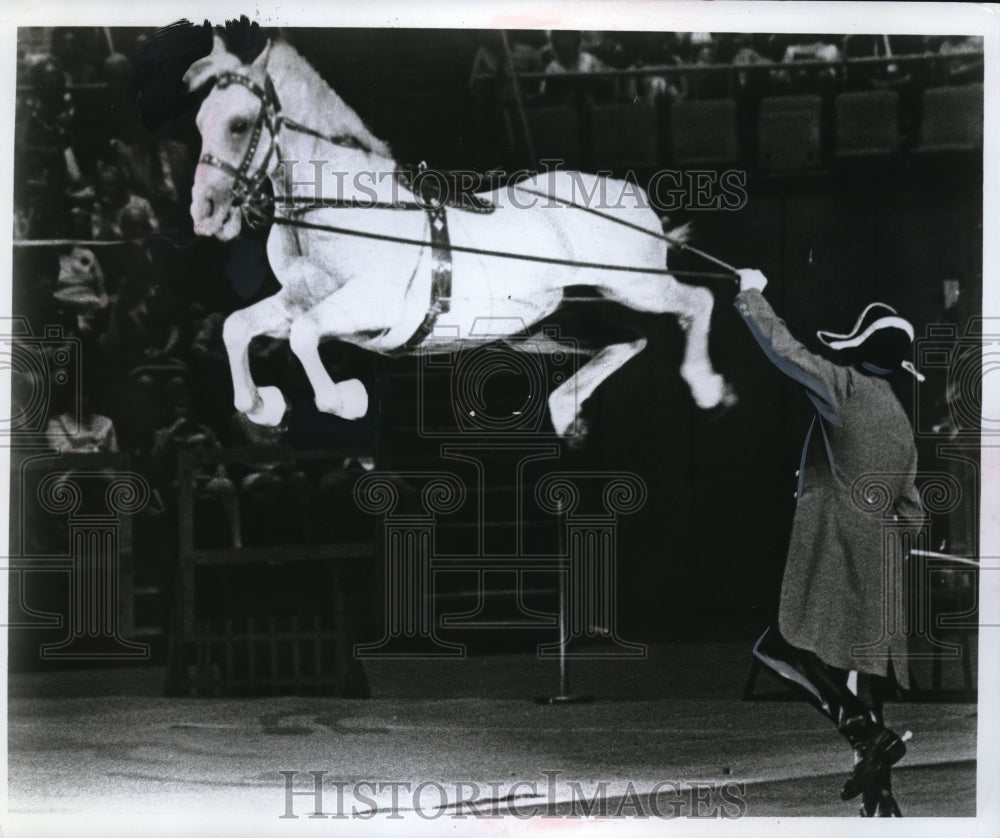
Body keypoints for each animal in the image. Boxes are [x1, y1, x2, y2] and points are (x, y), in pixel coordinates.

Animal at [186, 36, 736, 436]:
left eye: (239, 125)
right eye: (200, 122)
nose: (204, 213)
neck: (339, 210)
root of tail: (631, 195)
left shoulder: (370, 304)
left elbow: (303, 337)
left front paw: (342, 400)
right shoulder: (299, 299)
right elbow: (238, 326)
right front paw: (260, 405)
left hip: (636, 284)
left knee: (698, 302)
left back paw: (709, 388)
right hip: (542, 324)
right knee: (627, 341)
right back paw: (565, 412)